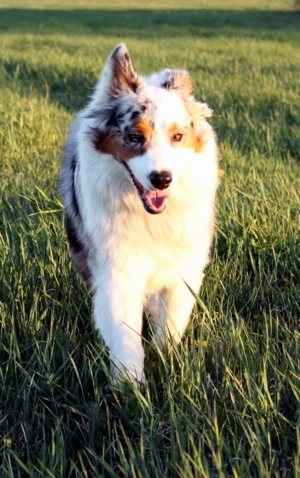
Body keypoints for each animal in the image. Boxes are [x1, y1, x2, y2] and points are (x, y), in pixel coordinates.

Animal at [60, 44, 218, 384]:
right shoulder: (118, 270)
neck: (150, 216)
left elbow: (173, 320)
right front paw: (130, 386)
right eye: (134, 136)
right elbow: (124, 332)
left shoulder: (184, 267)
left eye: (177, 137)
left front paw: (165, 358)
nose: (162, 179)